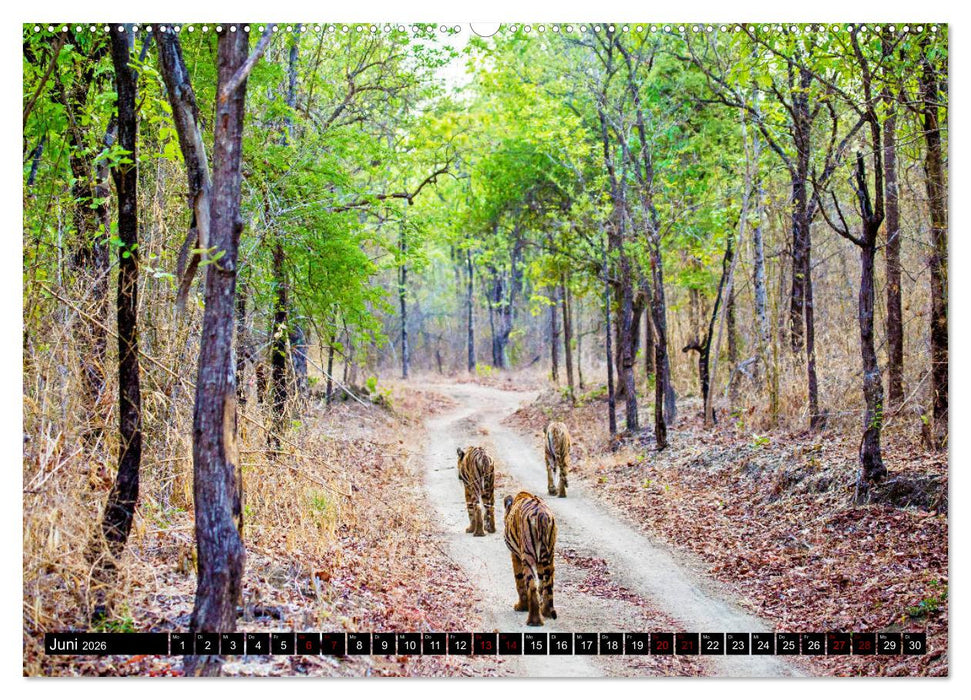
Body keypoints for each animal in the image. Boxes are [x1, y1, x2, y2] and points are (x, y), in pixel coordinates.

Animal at [503, 491, 557, 626]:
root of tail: (542, 516)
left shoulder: (516, 555)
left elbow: (519, 581)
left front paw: (521, 606)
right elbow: (542, 585)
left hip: (527, 556)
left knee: (532, 586)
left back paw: (534, 620)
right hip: (550, 555)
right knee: (548, 584)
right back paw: (545, 612)